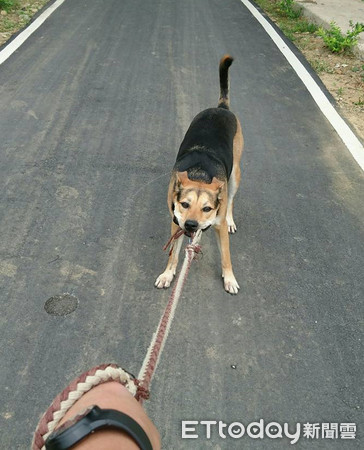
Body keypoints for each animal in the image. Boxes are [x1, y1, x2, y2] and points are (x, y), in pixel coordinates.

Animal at [154, 55, 243, 296]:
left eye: (207, 208)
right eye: (185, 204)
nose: (192, 225)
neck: (201, 175)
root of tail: (221, 108)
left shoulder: (218, 226)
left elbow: (226, 256)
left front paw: (229, 278)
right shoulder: (176, 222)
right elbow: (173, 255)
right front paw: (167, 274)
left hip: (235, 174)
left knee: (231, 199)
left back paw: (231, 219)